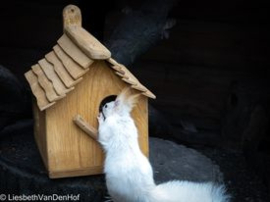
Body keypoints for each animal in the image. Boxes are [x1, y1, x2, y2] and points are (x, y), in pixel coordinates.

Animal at [97, 88, 230, 202]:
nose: (102, 106)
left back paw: (110, 198)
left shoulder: (109, 127)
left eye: (107, 106)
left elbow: (102, 133)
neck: (120, 117)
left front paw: (100, 118)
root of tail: (146, 192)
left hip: (114, 188)